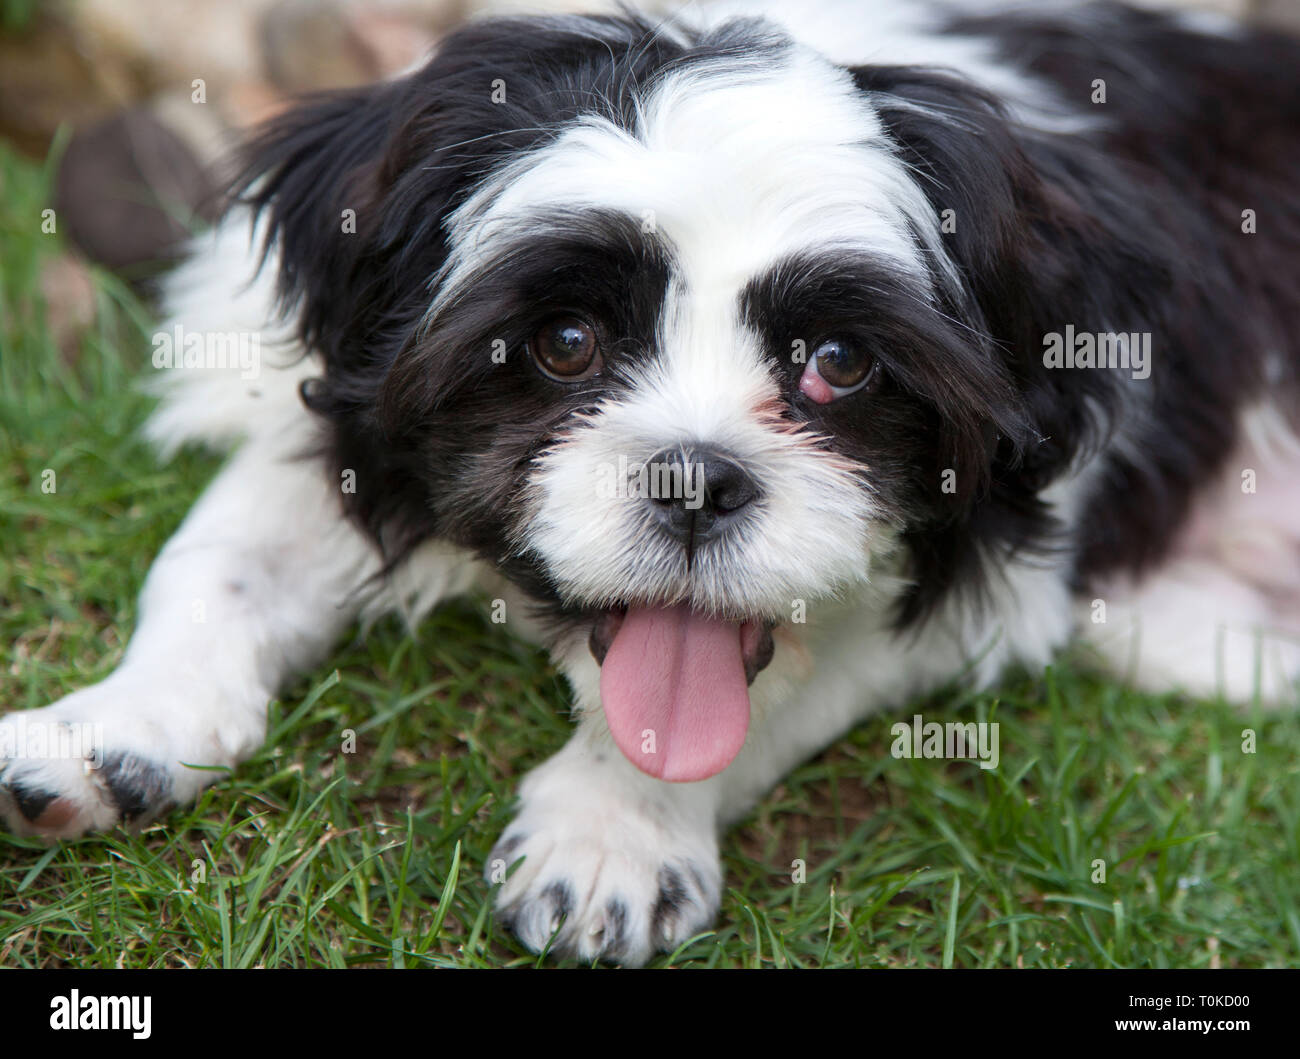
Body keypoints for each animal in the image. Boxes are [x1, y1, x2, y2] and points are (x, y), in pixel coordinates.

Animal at [2, 0, 1300, 961]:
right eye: (565, 342)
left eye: (840, 362)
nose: (695, 479)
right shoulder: (329, 416)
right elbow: (219, 563)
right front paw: (116, 724)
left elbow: (772, 690)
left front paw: (614, 830)